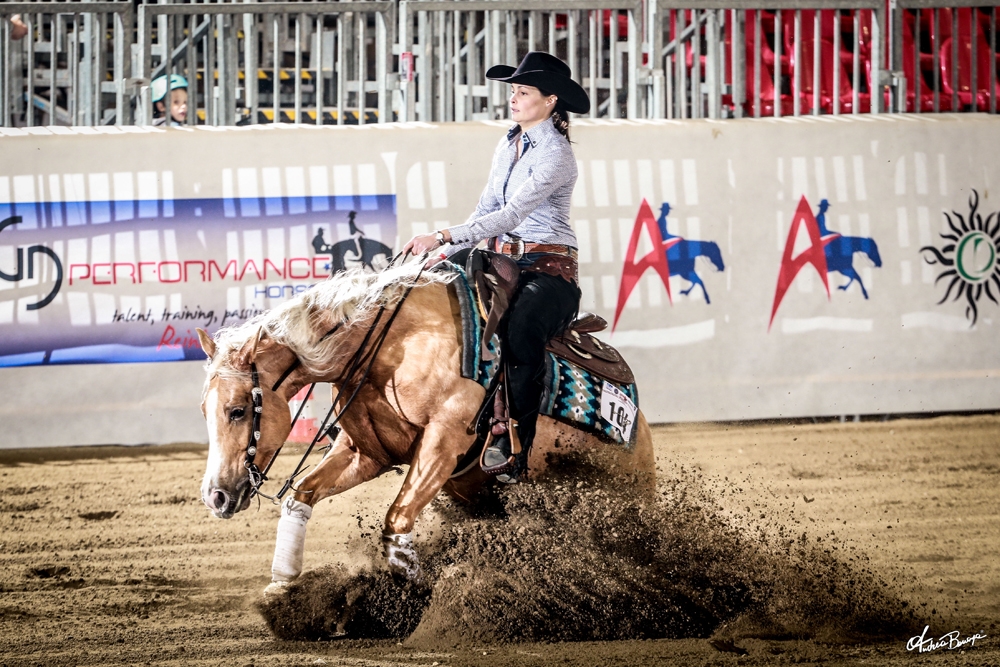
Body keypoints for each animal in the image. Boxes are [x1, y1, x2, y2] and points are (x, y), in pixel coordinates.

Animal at [196, 264, 656, 592]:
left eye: (237, 410)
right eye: (205, 410)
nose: (215, 497)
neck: (391, 346)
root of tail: (639, 426)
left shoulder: (442, 443)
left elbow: (397, 518)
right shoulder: (366, 452)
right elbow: (302, 494)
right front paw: (282, 589)